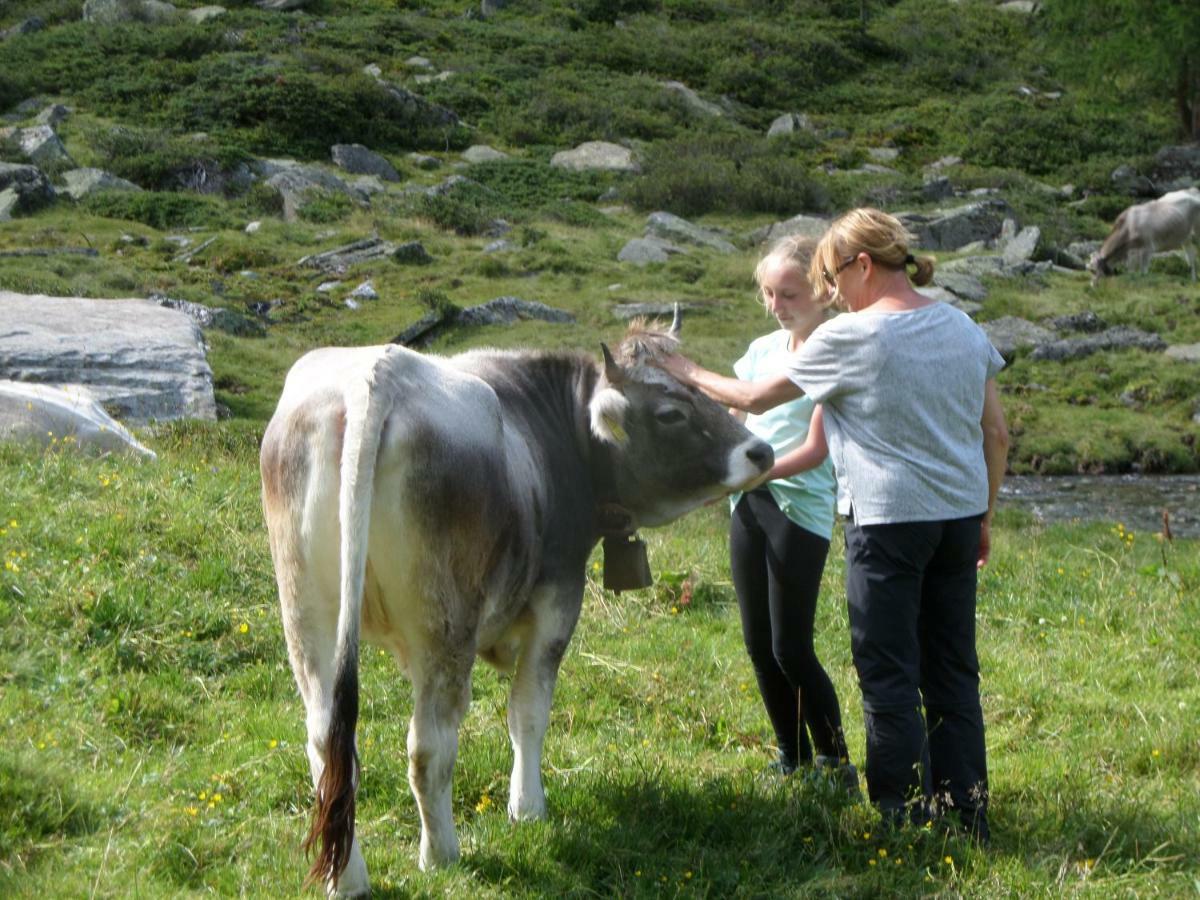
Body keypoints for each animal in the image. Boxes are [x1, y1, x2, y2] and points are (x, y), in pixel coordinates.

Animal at [258, 316, 772, 897]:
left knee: (329, 745)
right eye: (671, 412)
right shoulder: (558, 600)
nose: (760, 451)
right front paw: (527, 808)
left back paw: (346, 878)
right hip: (446, 627)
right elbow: (527, 712)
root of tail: (377, 376)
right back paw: (441, 855)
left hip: (307, 616)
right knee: (429, 746)